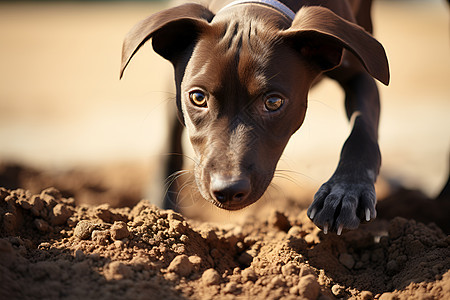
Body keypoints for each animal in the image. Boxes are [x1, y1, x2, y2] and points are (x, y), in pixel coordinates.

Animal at [119, 0, 390, 234]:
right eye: (197, 97)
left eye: (273, 102)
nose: (228, 190)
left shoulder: (360, 72)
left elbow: (361, 133)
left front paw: (345, 192)